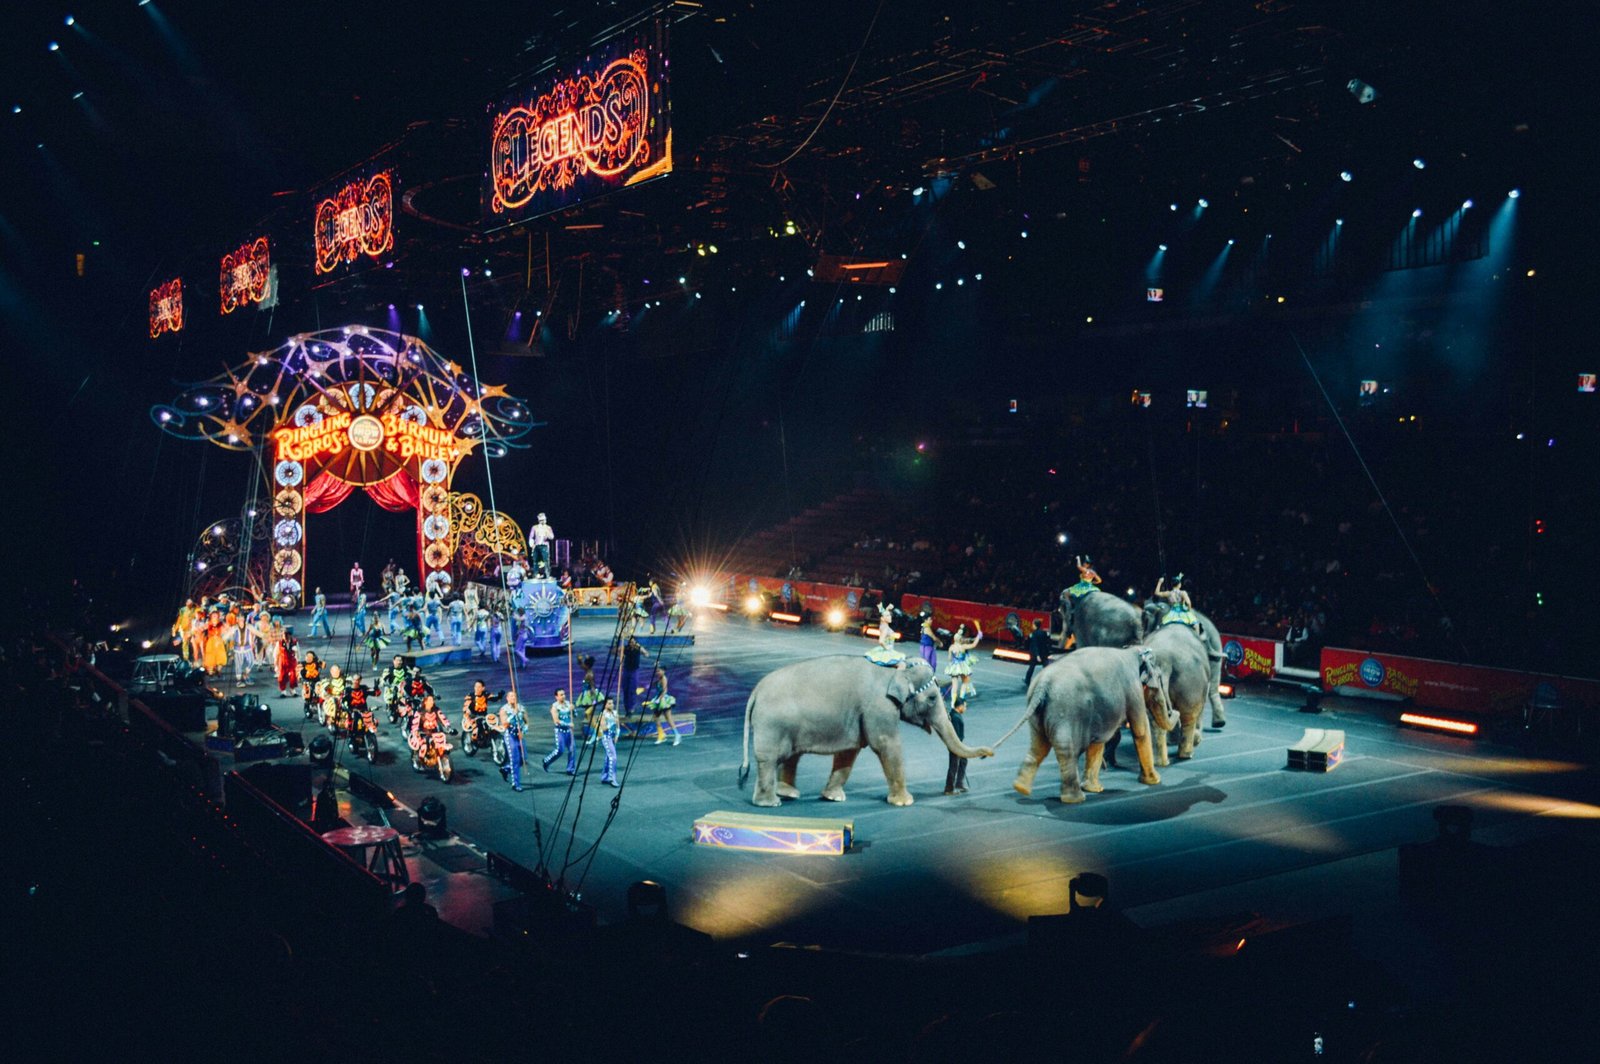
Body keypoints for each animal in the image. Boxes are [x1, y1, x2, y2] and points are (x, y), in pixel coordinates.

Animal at [732, 656, 985, 806]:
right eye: (932, 698)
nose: (987, 754)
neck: (892, 672)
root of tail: (755, 691)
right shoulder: (879, 708)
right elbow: (887, 745)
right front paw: (904, 802)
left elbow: (849, 751)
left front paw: (833, 797)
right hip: (773, 725)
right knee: (769, 759)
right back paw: (770, 802)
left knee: (792, 755)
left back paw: (788, 794)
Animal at [1011, 643, 1177, 800]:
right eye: (1160, 679)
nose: (1174, 711)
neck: (1132, 650)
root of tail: (1042, 685)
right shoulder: (1133, 690)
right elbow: (1141, 731)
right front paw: (1155, 781)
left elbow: (1098, 743)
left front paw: (1094, 789)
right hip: (1064, 711)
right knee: (1066, 750)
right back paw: (1074, 799)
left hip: (1039, 713)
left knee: (1038, 746)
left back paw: (1021, 788)